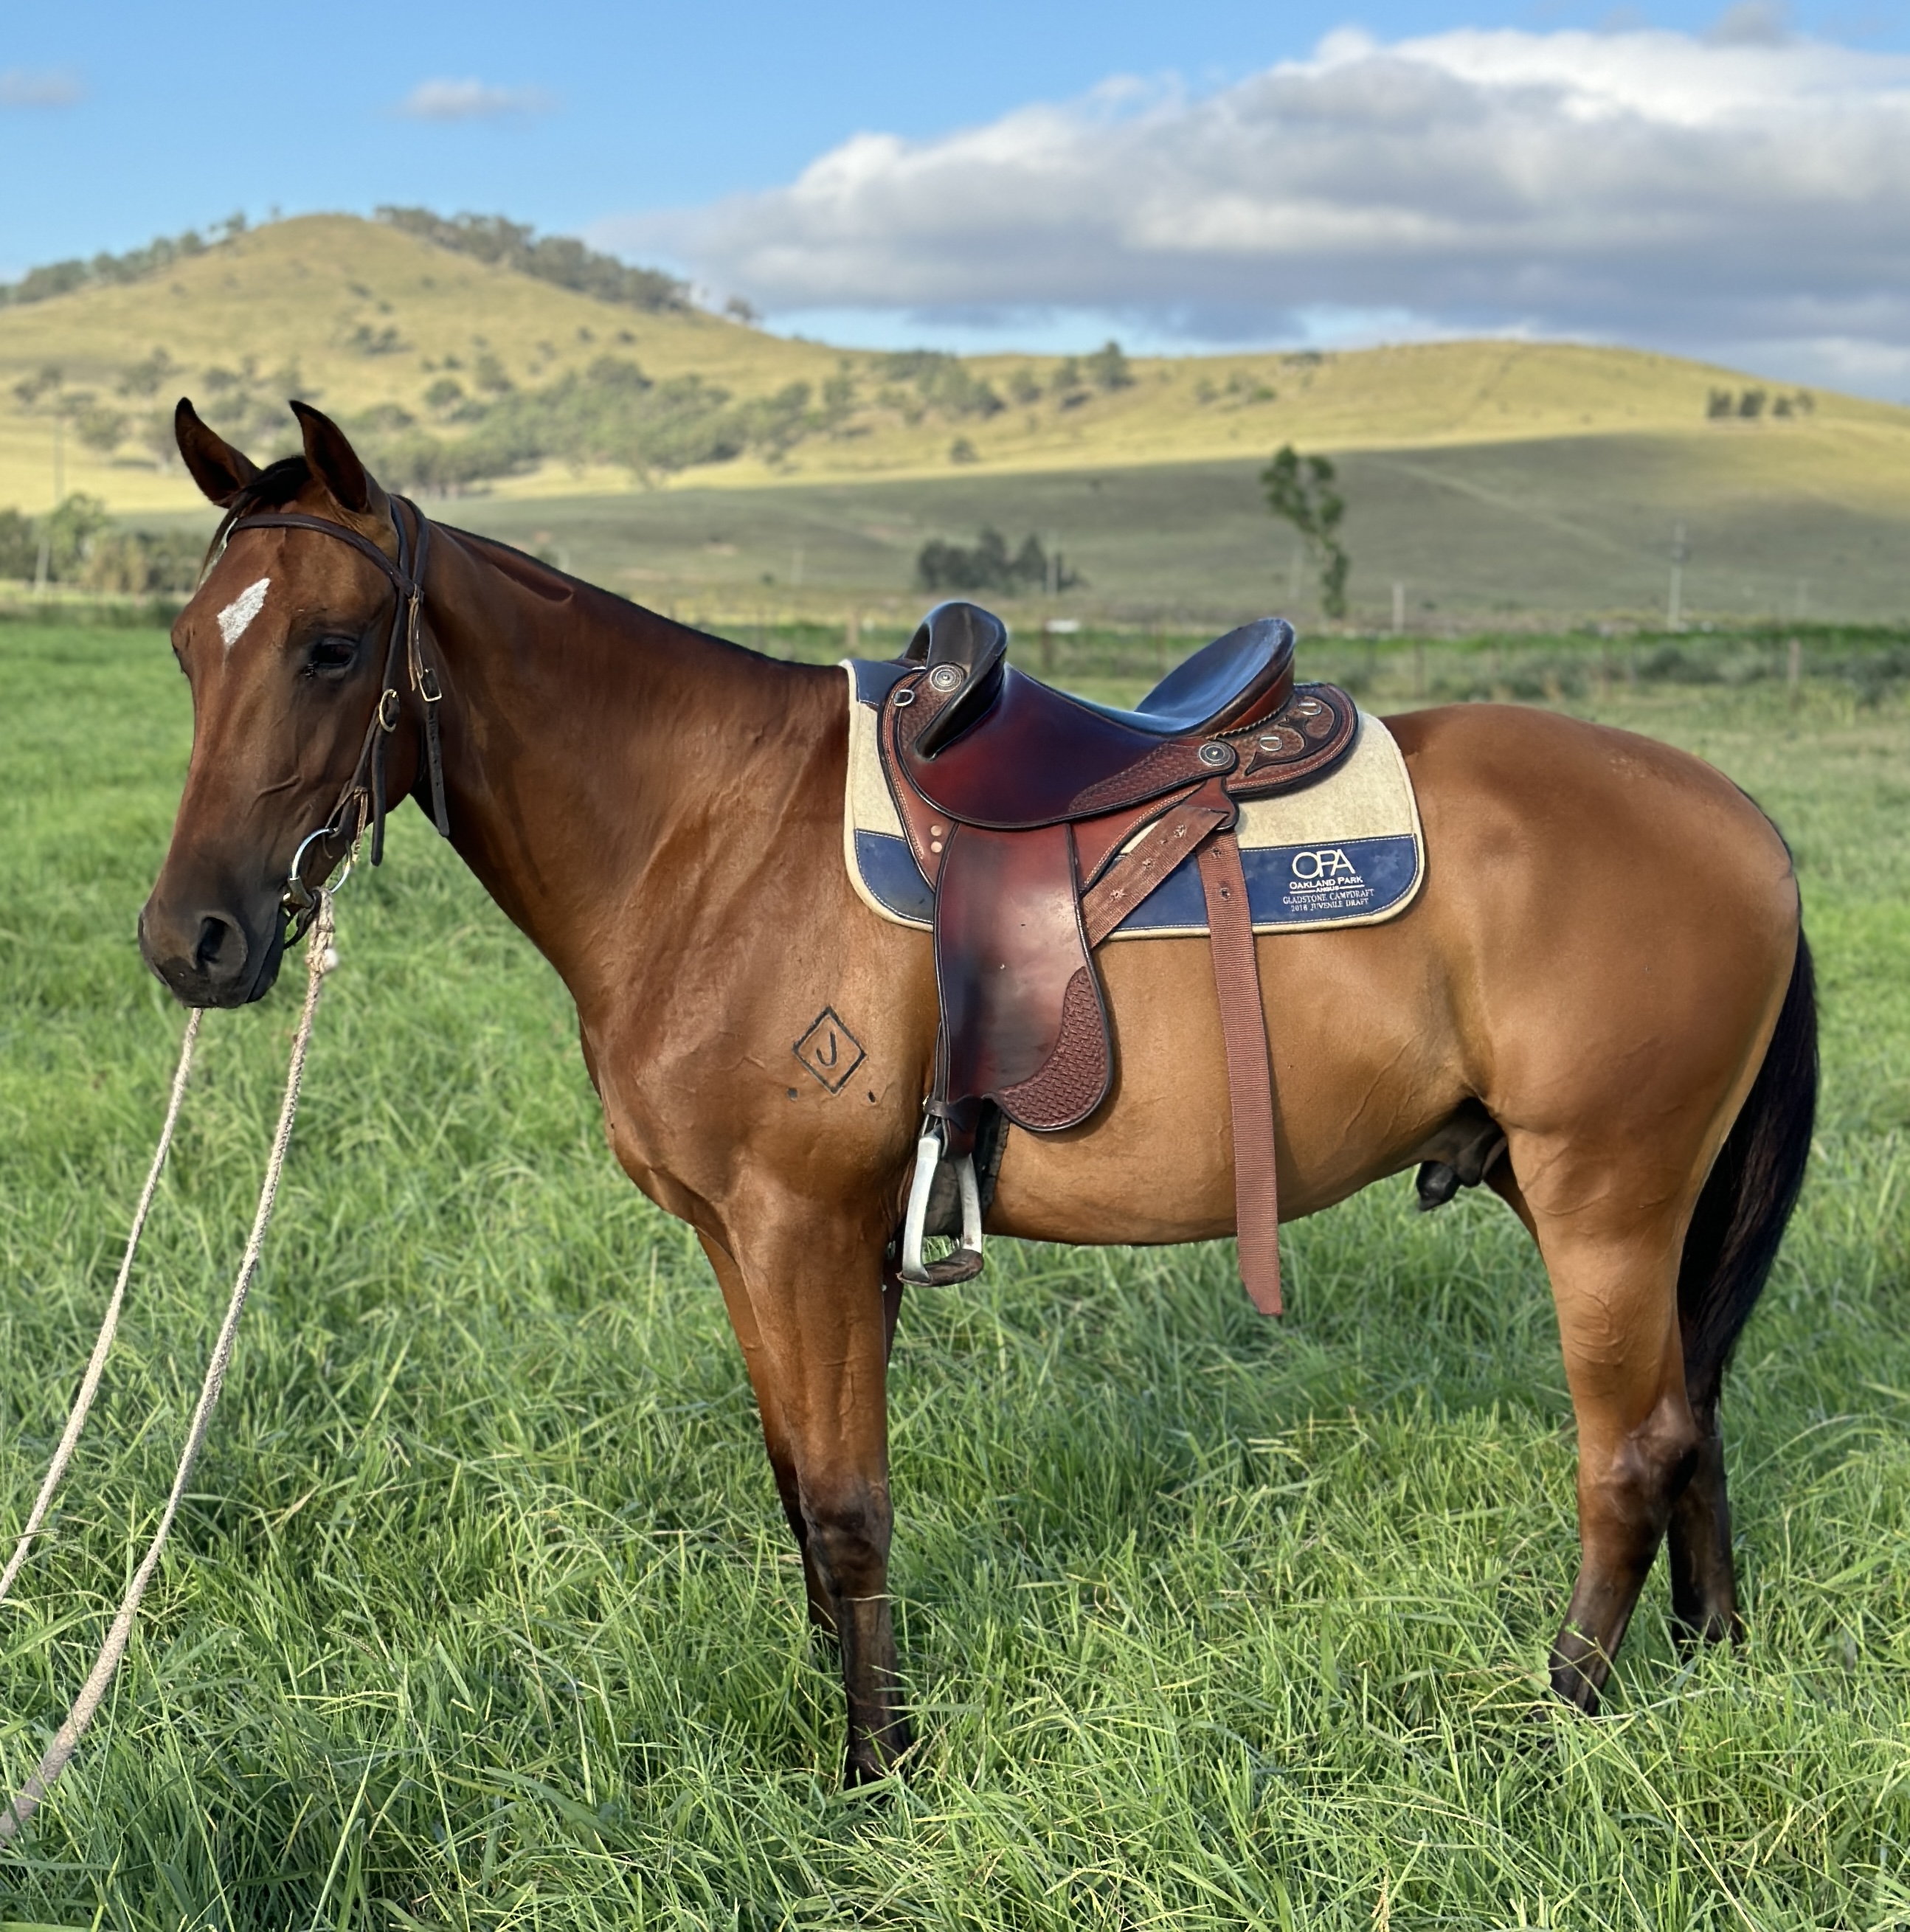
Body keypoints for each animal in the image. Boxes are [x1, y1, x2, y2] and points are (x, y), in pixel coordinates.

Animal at [139, 399, 1815, 1783]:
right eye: (187, 647)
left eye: (331, 647)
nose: (190, 939)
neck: (707, 831)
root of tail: (1742, 821)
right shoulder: (746, 1240)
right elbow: (794, 1492)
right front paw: (856, 1722)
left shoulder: (806, 1229)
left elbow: (844, 1507)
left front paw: (877, 1771)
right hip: (1604, 1200)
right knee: (1691, 1417)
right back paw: (1708, 1661)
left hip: (1601, 1196)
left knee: (1628, 1452)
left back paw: (1559, 1713)